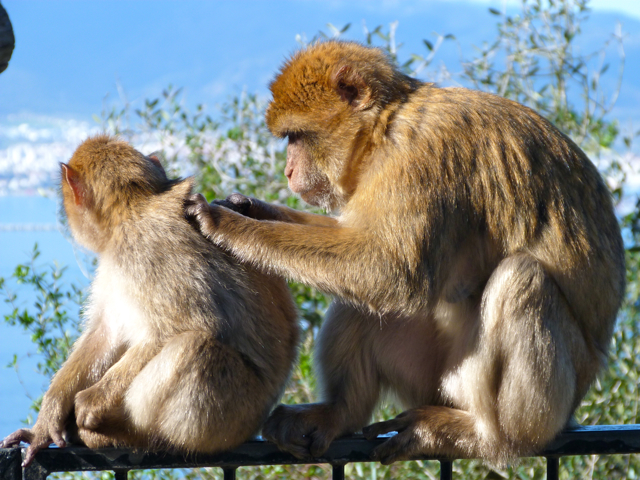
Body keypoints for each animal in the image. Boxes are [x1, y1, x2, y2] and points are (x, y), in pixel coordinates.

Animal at [0, 135, 299, 467]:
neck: (130, 211)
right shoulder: (115, 262)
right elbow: (105, 335)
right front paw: (45, 423)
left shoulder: (144, 248)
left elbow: (185, 326)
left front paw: (88, 402)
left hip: (235, 415)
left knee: (195, 347)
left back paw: (125, 434)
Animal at [184, 40, 626, 466]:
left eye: (297, 136)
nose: (288, 171)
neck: (386, 126)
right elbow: (360, 246)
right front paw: (247, 208)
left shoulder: (420, 159)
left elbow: (390, 270)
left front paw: (228, 224)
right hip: (429, 376)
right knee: (362, 297)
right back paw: (338, 413)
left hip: (518, 390)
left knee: (523, 278)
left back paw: (492, 436)